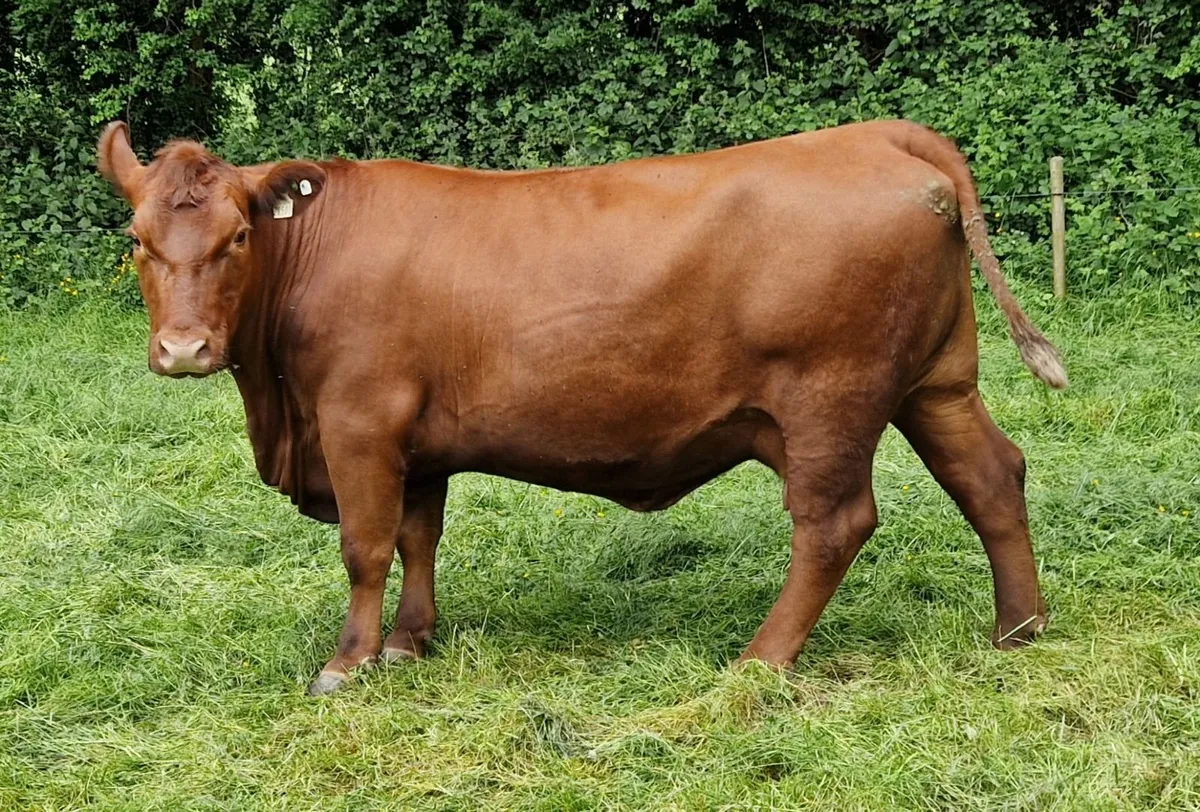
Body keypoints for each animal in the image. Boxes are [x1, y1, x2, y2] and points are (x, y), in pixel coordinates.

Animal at [97, 119, 1066, 696]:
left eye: (238, 237)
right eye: (138, 240)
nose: (183, 350)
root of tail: (875, 134)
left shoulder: (359, 421)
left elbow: (365, 547)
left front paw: (350, 662)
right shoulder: (419, 440)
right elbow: (418, 538)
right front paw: (412, 641)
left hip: (830, 398)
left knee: (834, 523)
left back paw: (759, 661)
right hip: (936, 383)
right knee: (992, 477)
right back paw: (1018, 628)